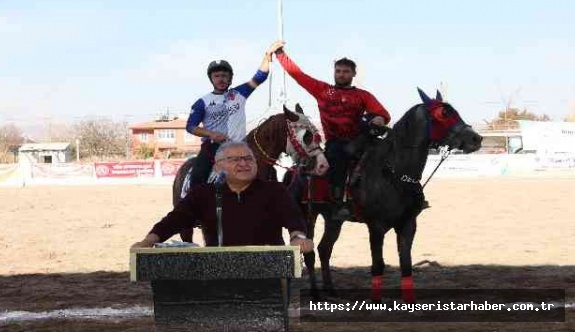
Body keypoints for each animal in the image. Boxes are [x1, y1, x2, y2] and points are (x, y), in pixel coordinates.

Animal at [286, 88, 484, 304]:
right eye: (443, 113)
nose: (476, 139)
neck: (393, 172)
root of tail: (296, 170)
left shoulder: (408, 225)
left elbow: (406, 264)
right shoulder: (376, 227)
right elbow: (378, 264)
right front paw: (376, 300)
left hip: (333, 219)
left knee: (324, 249)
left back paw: (330, 290)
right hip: (308, 216)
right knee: (310, 252)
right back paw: (315, 293)